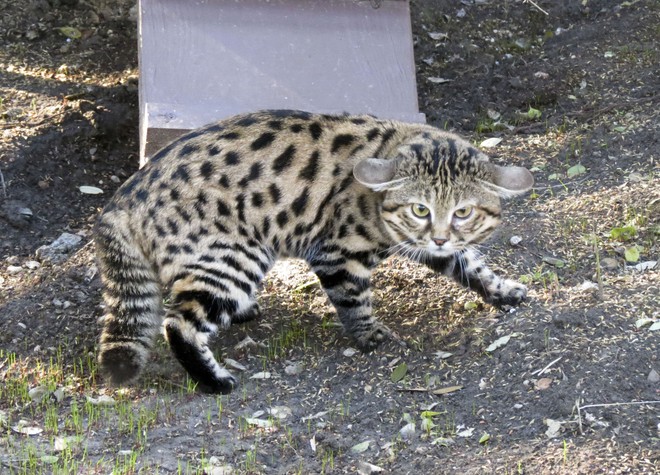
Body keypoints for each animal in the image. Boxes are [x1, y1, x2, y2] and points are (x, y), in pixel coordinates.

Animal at [94, 109, 536, 394]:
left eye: (463, 212)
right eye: (420, 209)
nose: (441, 236)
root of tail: (121, 203)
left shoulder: (433, 244)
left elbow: (472, 266)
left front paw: (501, 290)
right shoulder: (338, 253)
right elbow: (354, 300)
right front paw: (371, 335)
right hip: (234, 256)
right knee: (178, 324)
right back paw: (214, 381)